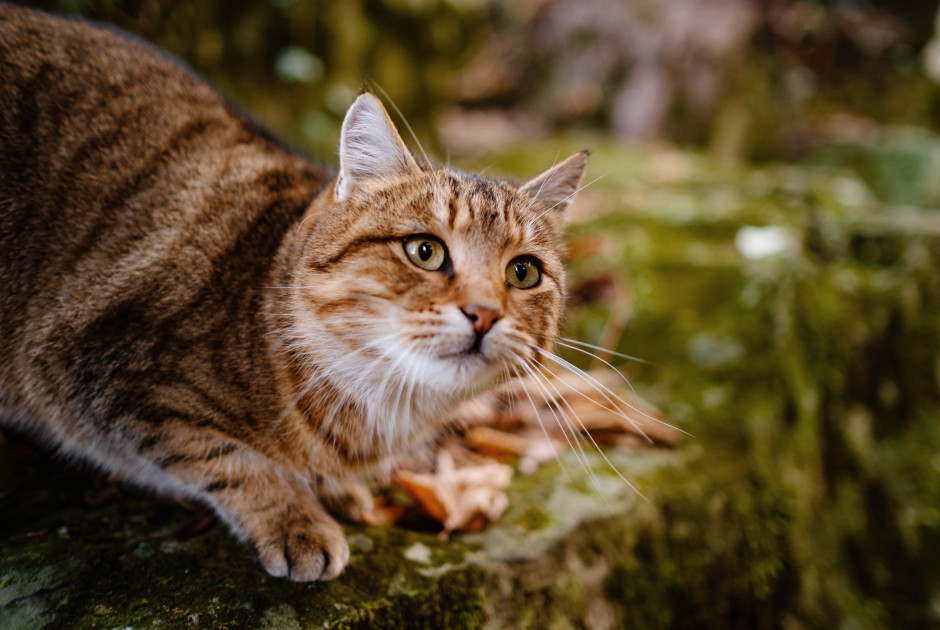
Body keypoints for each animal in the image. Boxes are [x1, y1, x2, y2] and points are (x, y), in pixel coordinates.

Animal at [0, 2, 588, 584]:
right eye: (425, 251)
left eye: (523, 273)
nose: (484, 314)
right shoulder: (113, 384)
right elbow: (229, 459)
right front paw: (295, 519)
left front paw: (335, 492)